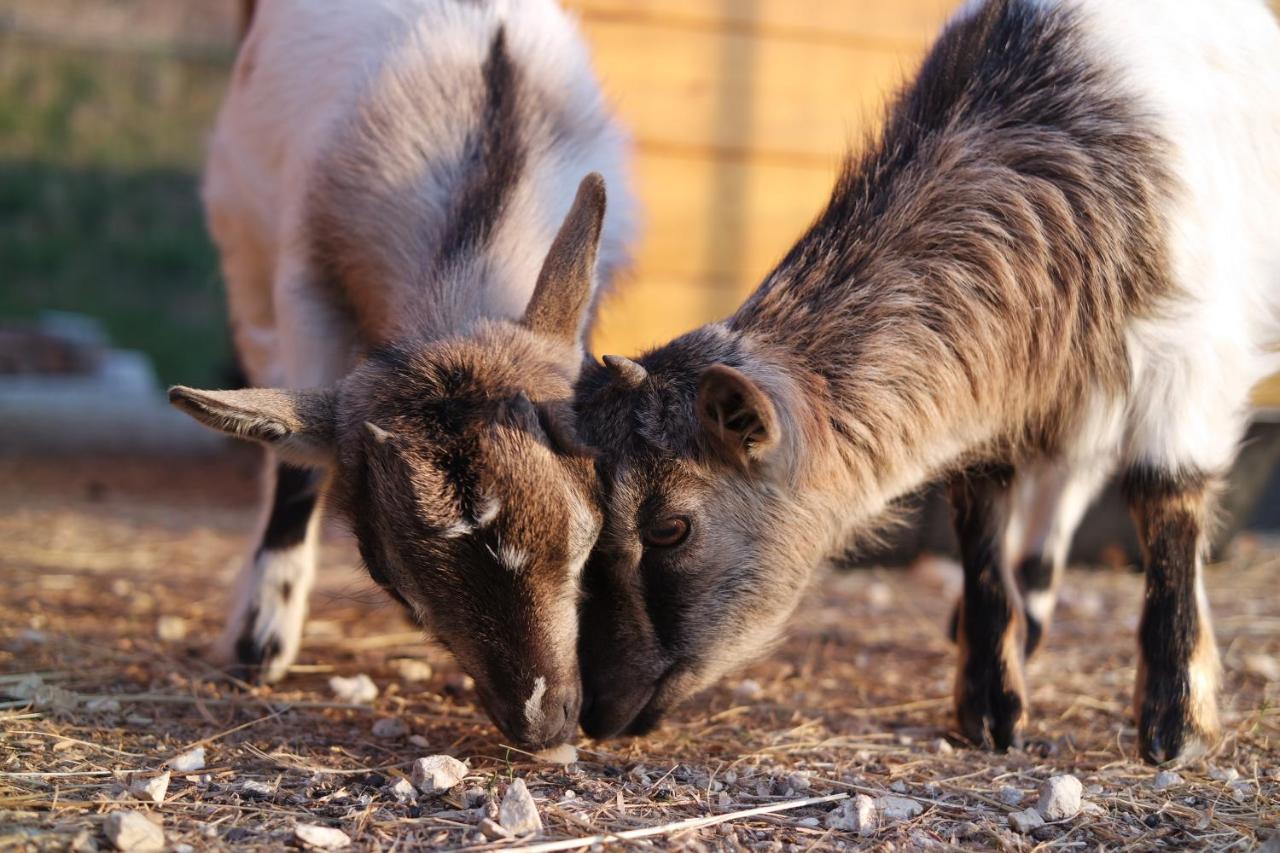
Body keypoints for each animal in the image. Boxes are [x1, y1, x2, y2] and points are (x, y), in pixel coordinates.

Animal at [166, 0, 634, 742]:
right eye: (389, 576)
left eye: (584, 538)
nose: (544, 721)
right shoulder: (305, 279)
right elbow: (297, 469)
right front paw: (259, 639)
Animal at [576, 0, 1280, 763]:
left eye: (670, 528)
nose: (596, 708)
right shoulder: (1010, 381)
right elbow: (981, 519)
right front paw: (989, 703)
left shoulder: (1189, 350)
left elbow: (1166, 498)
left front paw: (1177, 719)